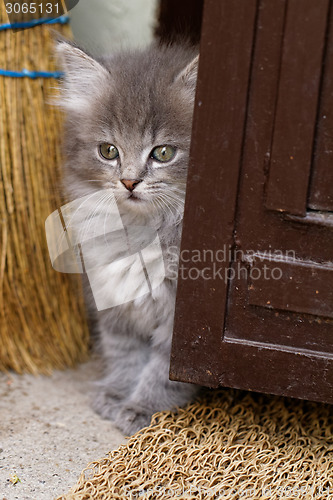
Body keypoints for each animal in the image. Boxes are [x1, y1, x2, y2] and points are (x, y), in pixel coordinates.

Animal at [55, 42, 198, 434]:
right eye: (108, 151)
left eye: (164, 152)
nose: (129, 182)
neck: (142, 231)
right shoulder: (111, 295)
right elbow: (125, 351)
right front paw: (117, 394)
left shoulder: (182, 322)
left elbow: (163, 370)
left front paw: (144, 408)